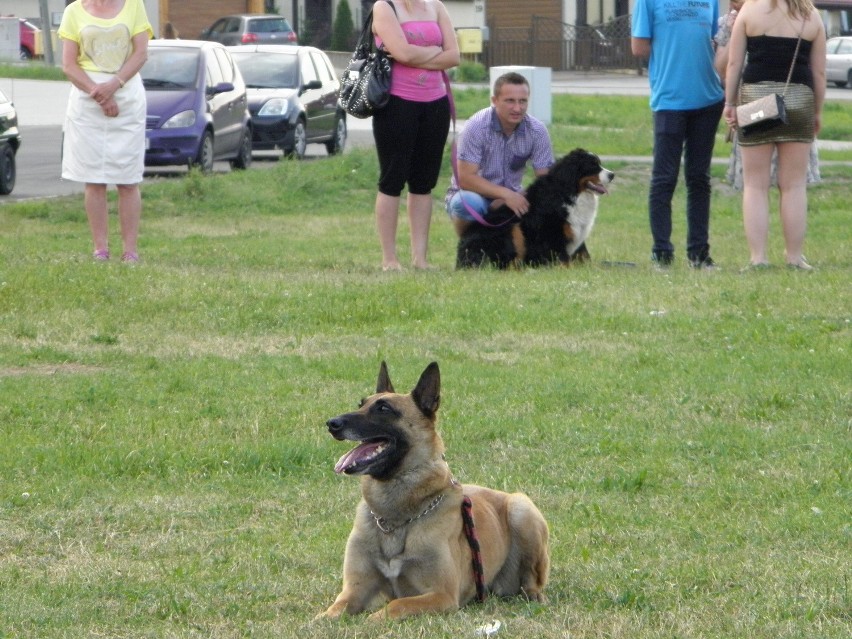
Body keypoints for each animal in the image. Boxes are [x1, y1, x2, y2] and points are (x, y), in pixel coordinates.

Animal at [316, 362, 548, 624]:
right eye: (361, 404)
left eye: (384, 409)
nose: (332, 423)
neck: (395, 519)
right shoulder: (353, 592)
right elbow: (332, 611)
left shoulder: (441, 596)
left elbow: (397, 604)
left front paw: (373, 620)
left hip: (522, 509)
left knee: (533, 579)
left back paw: (533, 595)